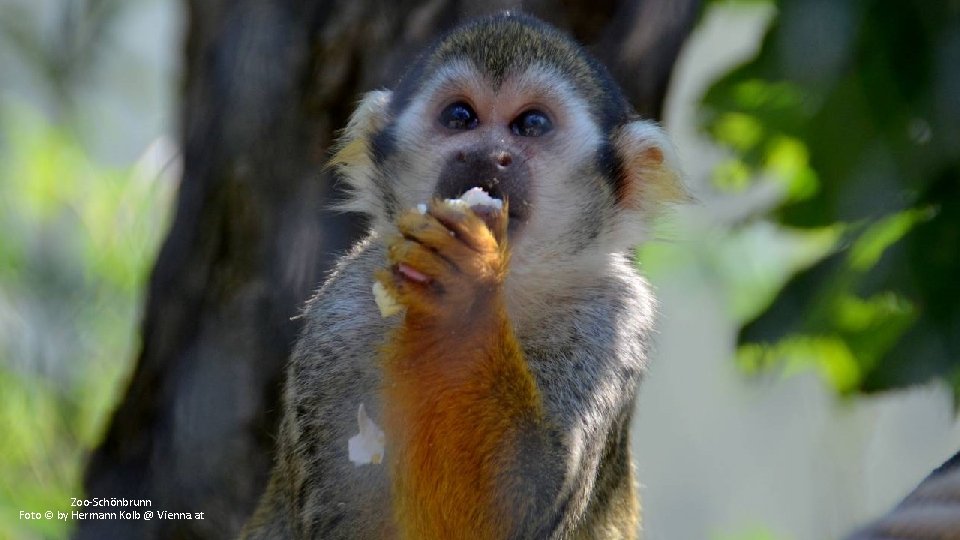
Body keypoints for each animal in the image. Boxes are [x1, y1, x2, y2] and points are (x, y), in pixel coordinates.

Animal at [244, 12, 688, 540]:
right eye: (461, 117)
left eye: (531, 124)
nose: (486, 153)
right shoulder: (341, 316)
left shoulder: (615, 321)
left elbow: (516, 506)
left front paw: (462, 303)